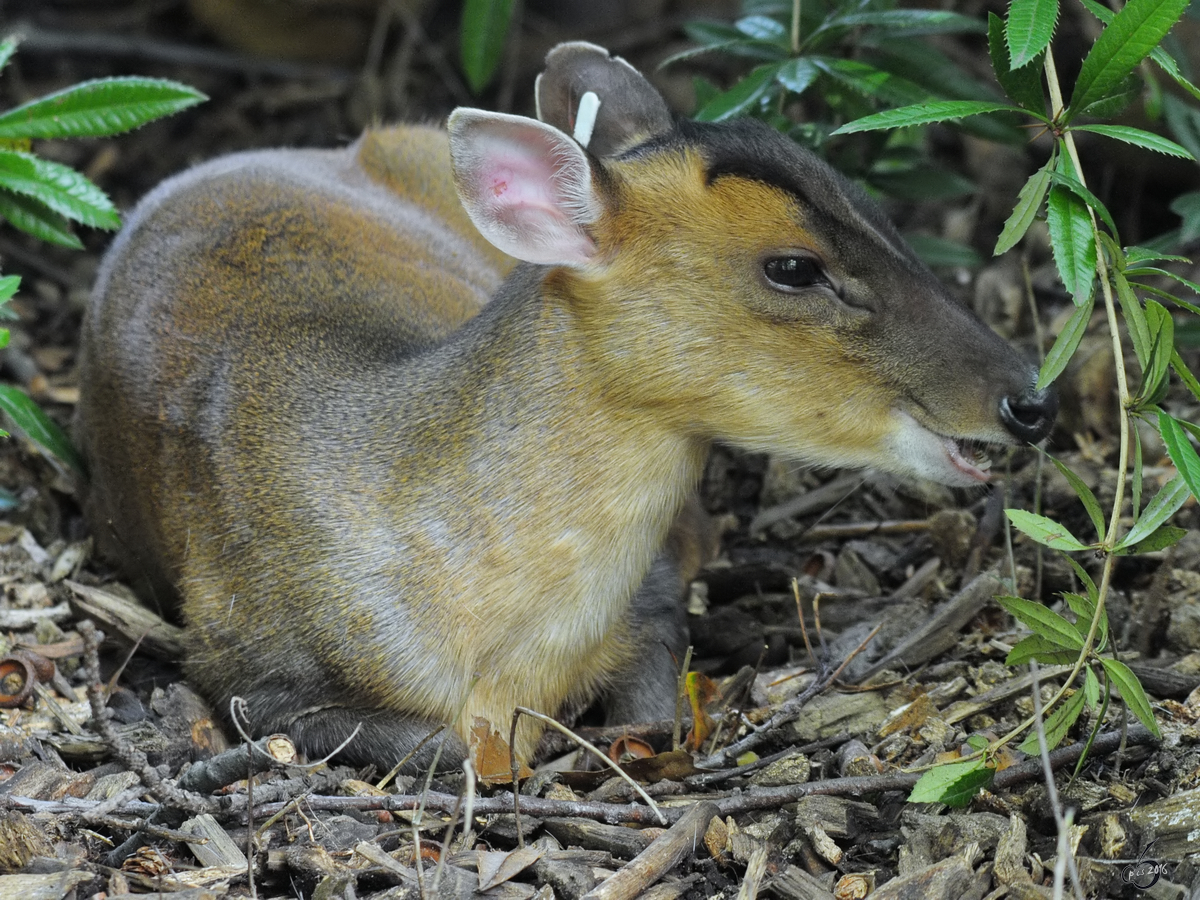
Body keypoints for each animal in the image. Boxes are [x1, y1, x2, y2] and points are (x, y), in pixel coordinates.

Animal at [75, 42, 1056, 772]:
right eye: (792, 266)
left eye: (879, 210)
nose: (1027, 401)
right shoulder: (242, 662)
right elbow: (450, 748)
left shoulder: (650, 593)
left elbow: (656, 702)